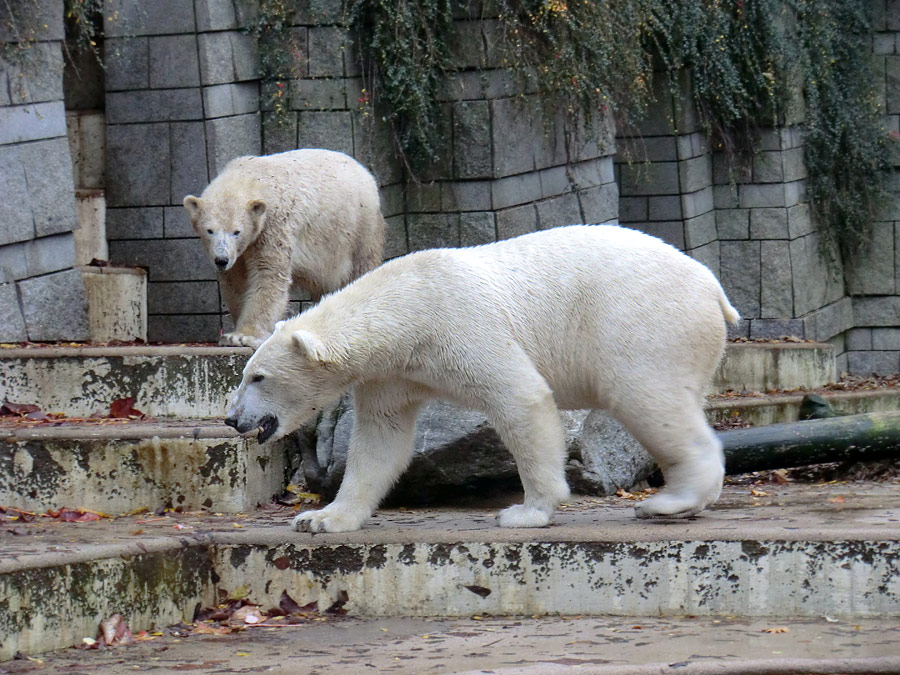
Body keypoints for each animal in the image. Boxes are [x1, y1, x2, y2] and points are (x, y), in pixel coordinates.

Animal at [183, 149, 384, 348]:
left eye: (236, 232)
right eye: (210, 230)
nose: (221, 260)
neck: (251, 176)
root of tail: (365, 172)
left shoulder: (274, 224)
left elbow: (268, 275)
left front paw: (243, 336)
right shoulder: (240, 251)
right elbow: (236, 280)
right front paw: (231, 334)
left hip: (359, 228)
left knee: (361, 269)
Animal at [223, 227, 740, 532]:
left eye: (258, 376)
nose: (232, 418)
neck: (407, 311)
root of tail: (712, 286)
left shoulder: (462, 325)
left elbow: (521, 398)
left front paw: (526, 511)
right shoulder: (392, 372)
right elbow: (380, 438)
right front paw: (321, 518)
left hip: (643, 323)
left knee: (647, 399)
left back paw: (668, 503)